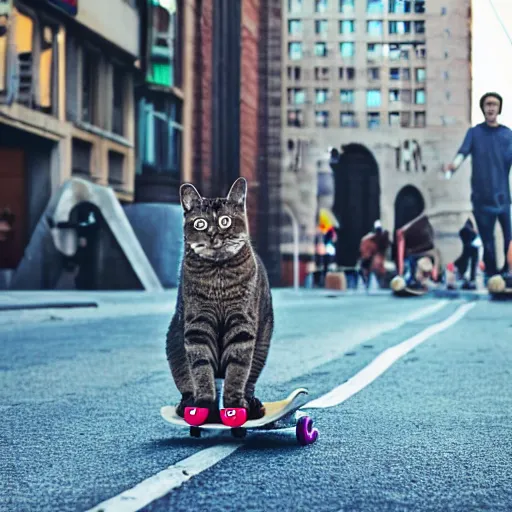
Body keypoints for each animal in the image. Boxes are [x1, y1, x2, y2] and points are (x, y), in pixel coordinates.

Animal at [166, 178, 274, 426]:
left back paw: (252, 404)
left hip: (262, 347)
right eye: (200, 223)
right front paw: (204, 408)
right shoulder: (198, 326)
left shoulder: (242, 324)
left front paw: (235, 407)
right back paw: (187, 405)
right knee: (188, 386)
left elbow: (237, 371)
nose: (213, 234)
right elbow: (201, 370)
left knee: (249, 382)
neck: (219, 278)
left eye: (225, 221)